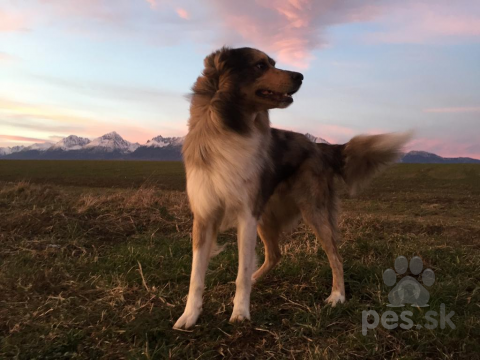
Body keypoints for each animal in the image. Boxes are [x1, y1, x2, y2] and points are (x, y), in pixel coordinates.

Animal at [174, 45, 410, 330]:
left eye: (272, 63)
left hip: (312, 211)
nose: (300, 76)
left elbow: (241, 270)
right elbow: (196, 275)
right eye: (260, 65)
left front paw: (240, 313)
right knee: (275, 255)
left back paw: (337, 296)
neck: (227, 127)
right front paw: (189, 315)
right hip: (266, 215)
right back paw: (257, 279)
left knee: (335, 256)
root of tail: (319, 146)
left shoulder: (246, 214)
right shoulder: (205, 216)